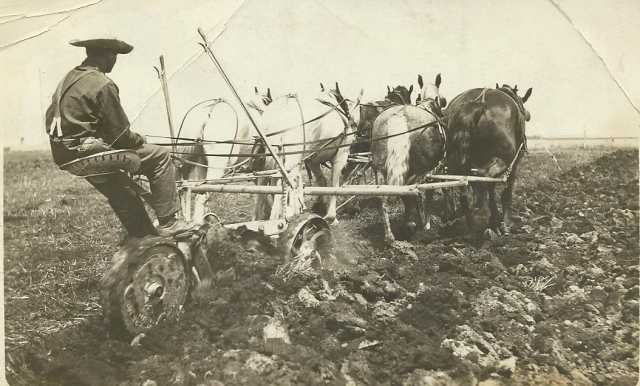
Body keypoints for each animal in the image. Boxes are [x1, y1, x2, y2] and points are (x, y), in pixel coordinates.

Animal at [251, 83, 360, 225]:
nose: (355, 125)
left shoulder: (313, 160)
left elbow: (321, 181)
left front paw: (319, 205)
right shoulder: (341, 154)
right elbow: (334, 184)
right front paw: (331, 216)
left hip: (272, 156)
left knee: (267, 181)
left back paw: (263, 217)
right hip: (292, 157)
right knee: (287, 181)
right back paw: (285, 217)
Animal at [370, 74, 444, 243]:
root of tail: (399, 114)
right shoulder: (434, 170)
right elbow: (428, 194)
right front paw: (426, 222)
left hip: (379, 167)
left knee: (383, 196)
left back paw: (390, 236)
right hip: (422, 169)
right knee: (416, 192)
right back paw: (421, 227)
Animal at [444, 83, 528, 234]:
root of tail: (476, 104)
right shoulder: (514, 165)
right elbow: (506, 193)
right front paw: (505, 223)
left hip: (456, 162)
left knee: (464, 189)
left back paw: (471, 225)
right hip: (502, 159)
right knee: (485, 180)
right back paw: (487, 218)